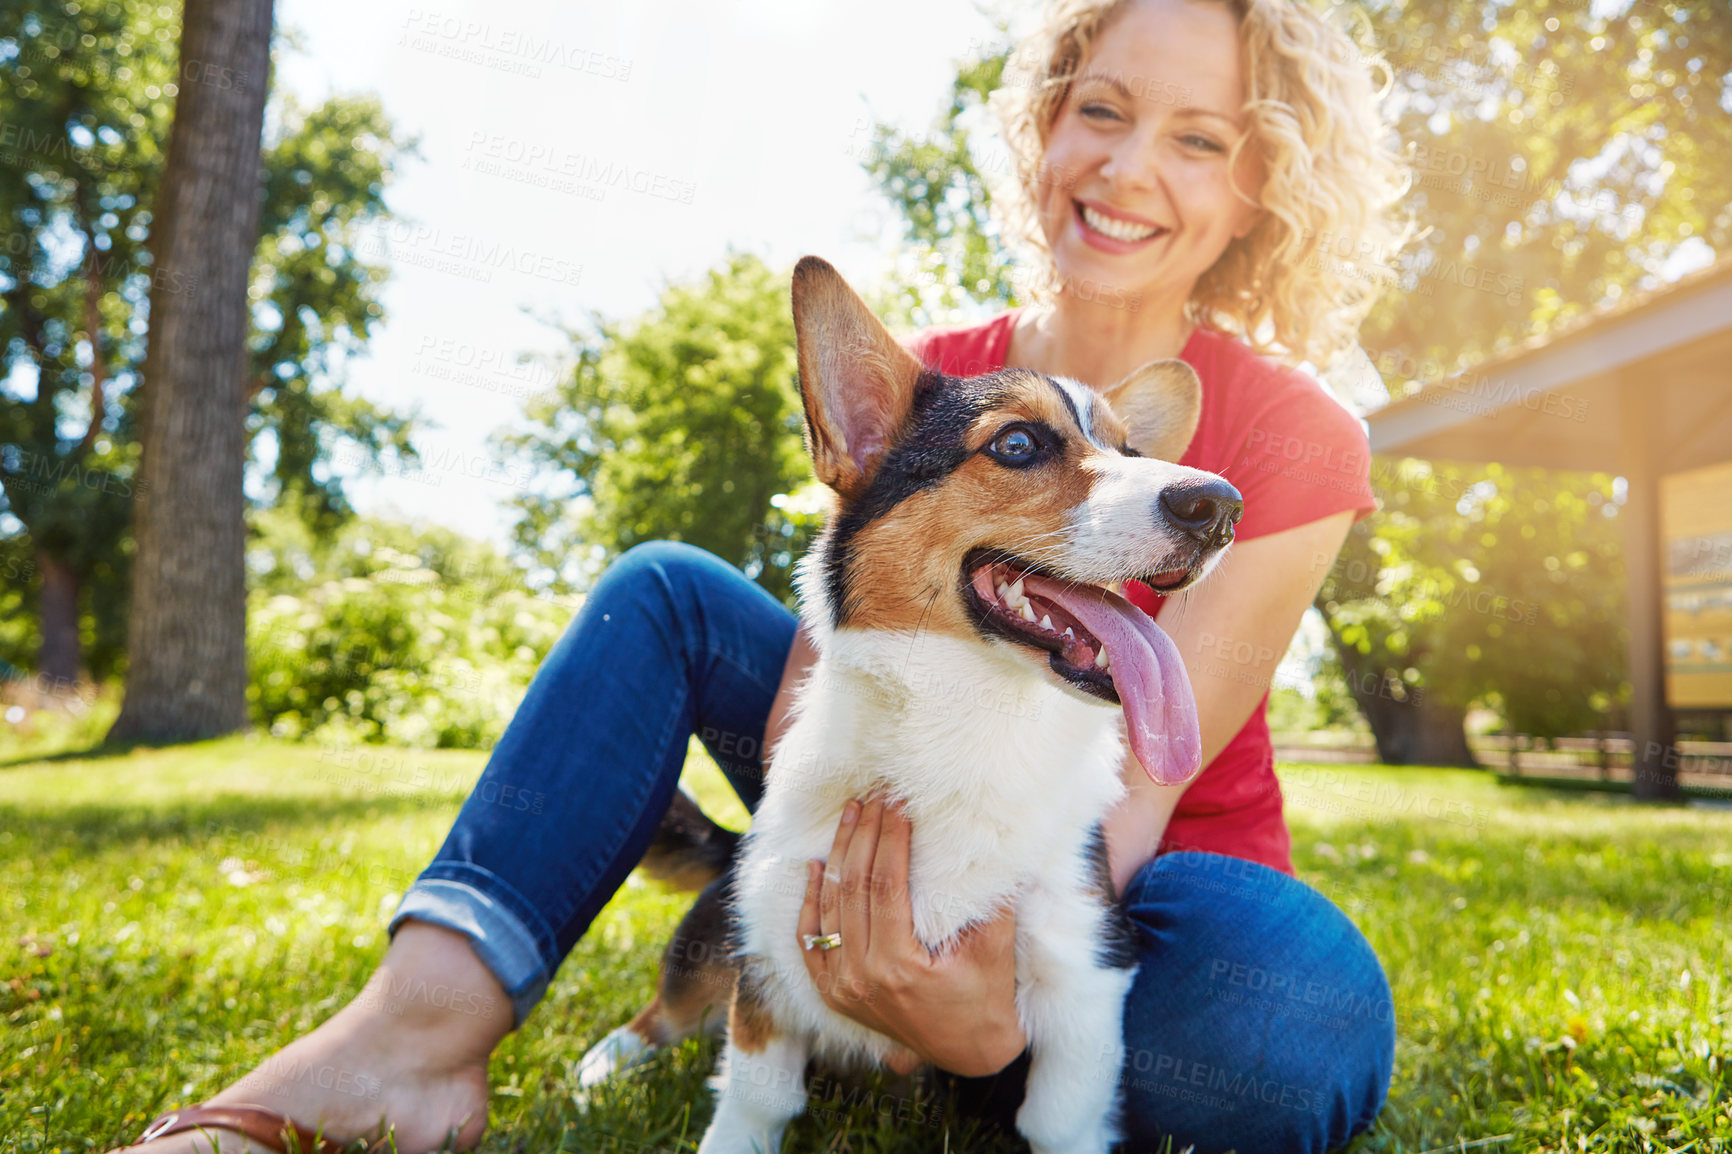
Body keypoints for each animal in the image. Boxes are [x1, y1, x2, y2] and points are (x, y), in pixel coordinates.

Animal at [588, 254, 1240, 1150]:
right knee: (670, 1005)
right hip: (723, 923)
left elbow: (1061, 1117)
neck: (968, 717)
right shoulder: (769, 954)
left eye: (1131, 449)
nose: (1220, 507)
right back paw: (605, 1063)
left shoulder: (1083, 973)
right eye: (1017, 444)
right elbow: (754, 1100)